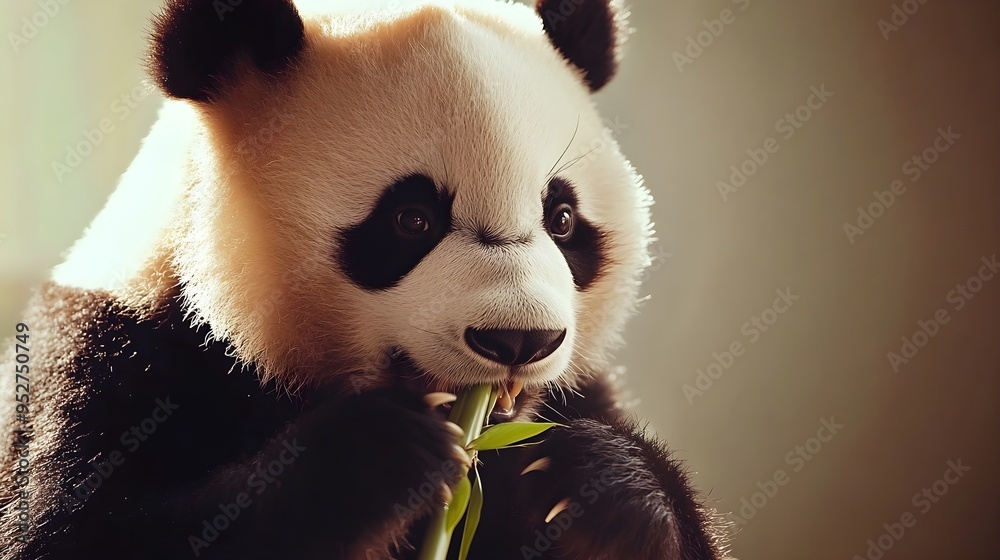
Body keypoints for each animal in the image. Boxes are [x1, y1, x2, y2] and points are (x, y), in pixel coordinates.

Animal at [0, 0, 731, 558]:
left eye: (563, 219)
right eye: (411, 219)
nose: (518, 340)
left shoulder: (574, 398)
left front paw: (598, 488)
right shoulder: (111, 358)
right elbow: (81, 533)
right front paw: (375, 458)